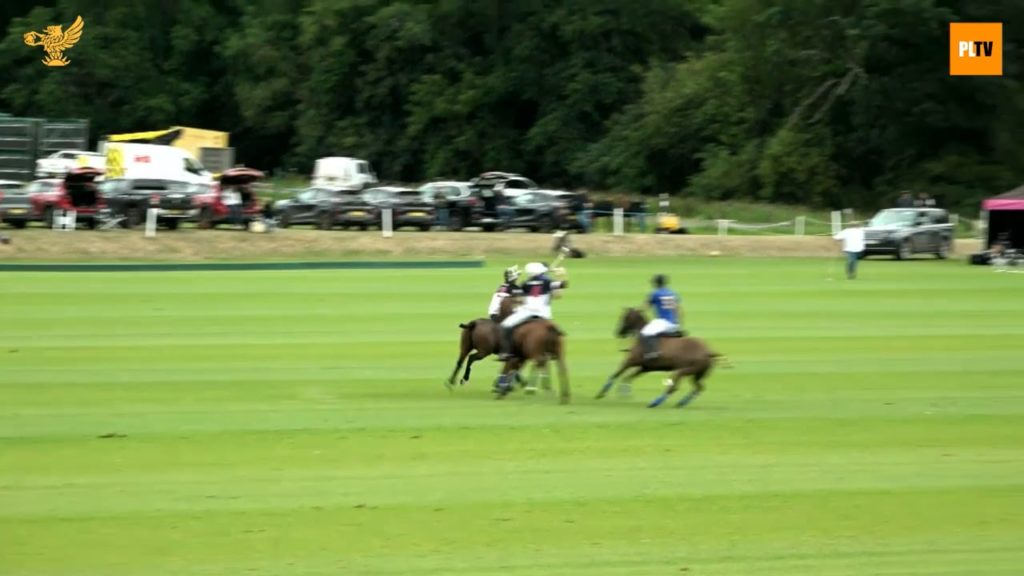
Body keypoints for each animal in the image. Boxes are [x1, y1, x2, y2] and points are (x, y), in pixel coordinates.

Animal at [598, 307, 733, 405]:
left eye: (624, 317)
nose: (618, 332)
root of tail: (708, 351)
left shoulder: (632, 361)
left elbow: (616, 374)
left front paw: (601, 393)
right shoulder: (645, 367)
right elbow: (628, 377)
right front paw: (624, 392)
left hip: (684, 370)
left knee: (675, 386)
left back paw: (656, 402)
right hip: (698, 373)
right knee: (699, 387)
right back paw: (681, 403)